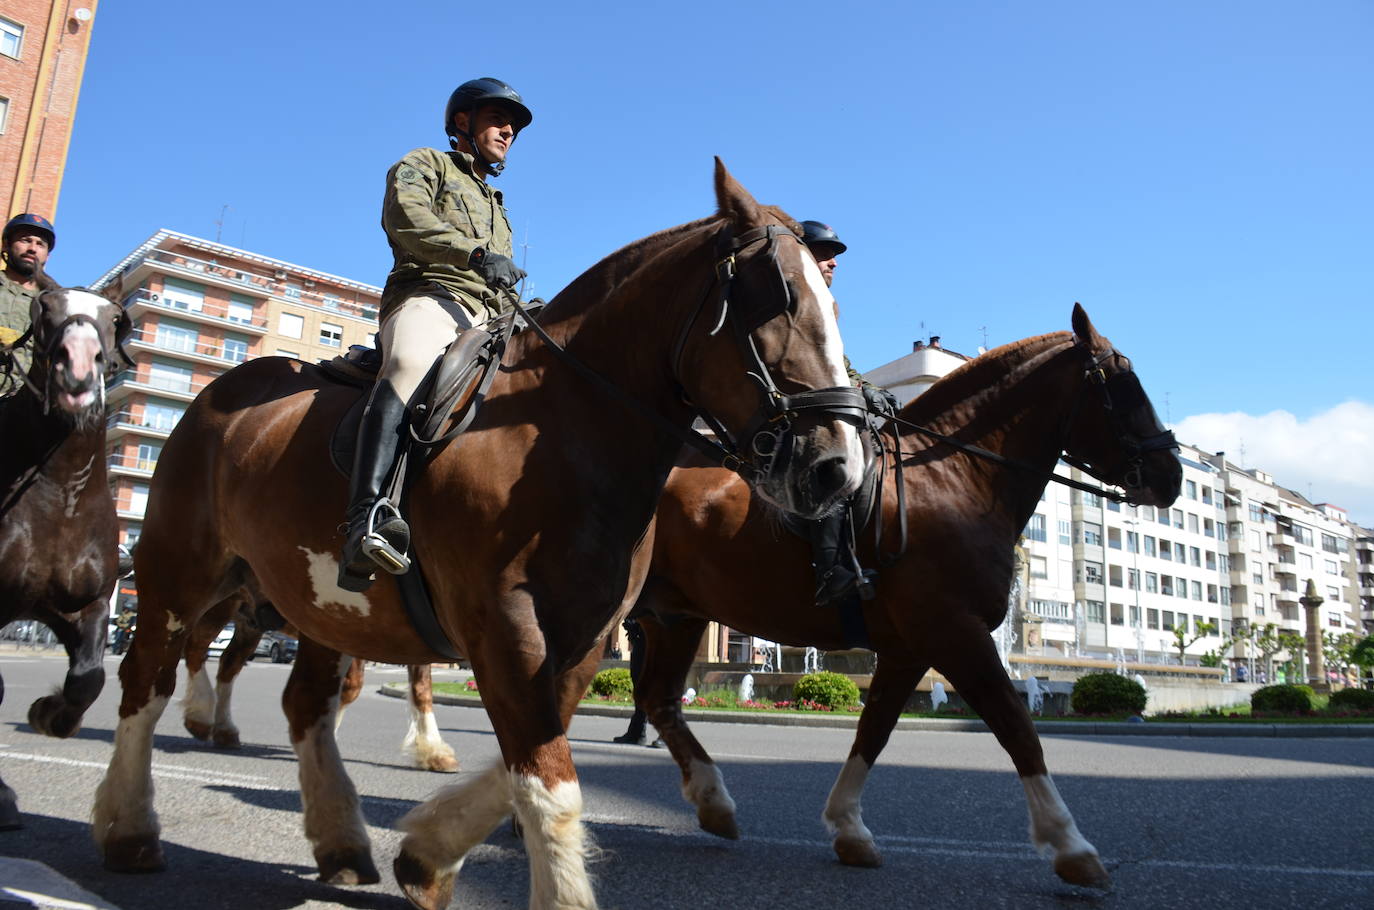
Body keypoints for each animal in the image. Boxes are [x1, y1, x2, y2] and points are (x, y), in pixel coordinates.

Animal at [91, 160, 862, 907]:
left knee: (304, 704)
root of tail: (218, 396)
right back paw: (129, 826)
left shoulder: (582, 637)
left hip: (319, 605)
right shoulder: (504, 623)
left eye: (834, 305)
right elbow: (550, 785)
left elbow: (530, 759)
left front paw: (426, 854)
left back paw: (340, 840)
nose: (839, 467)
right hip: (178, 577)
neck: (565, 429)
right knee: (144, 683)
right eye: (774, 297)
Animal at [632, 306, 1181, 890]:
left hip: (677, 617)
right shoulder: (956, 633)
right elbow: (1017, 727)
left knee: (660, 698)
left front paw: (849, 827)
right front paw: (1069, 843)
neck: (952, 477)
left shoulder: (908, 649)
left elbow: (874, 729)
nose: (1172, 474)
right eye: (1123, 383)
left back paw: (712, 801)